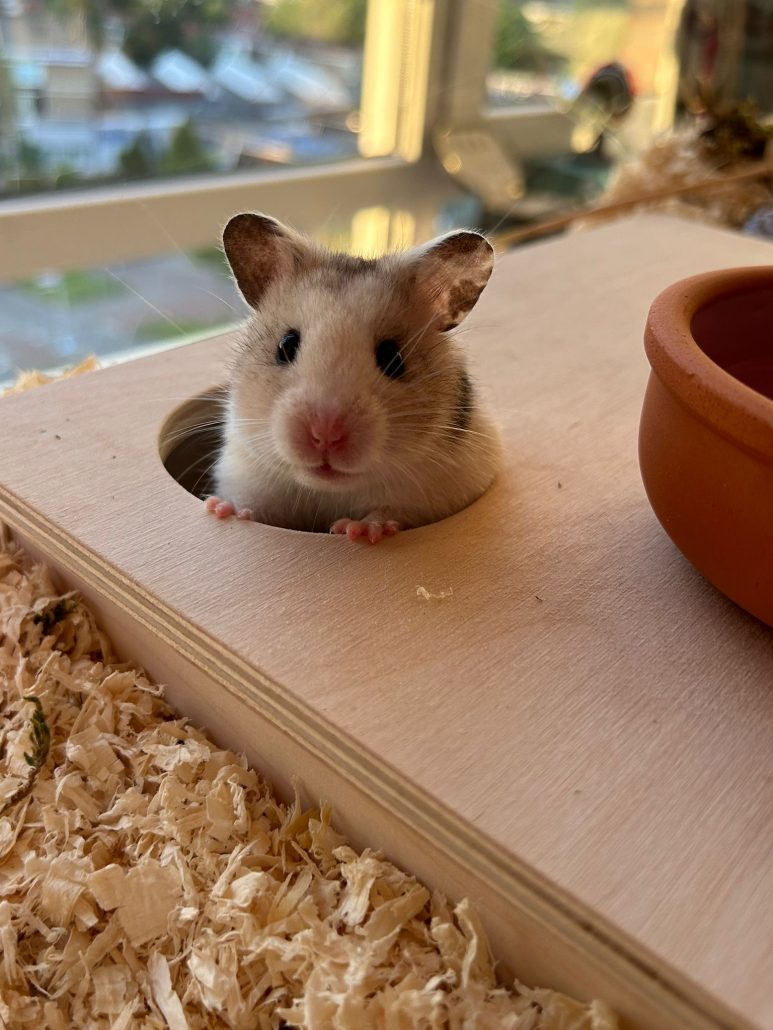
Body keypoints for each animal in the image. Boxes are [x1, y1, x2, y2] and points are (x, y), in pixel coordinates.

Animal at [206, 212, 501, 543]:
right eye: (286, 346)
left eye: (392, 358)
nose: (324, 435)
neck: (328, 490)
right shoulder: (245, 469)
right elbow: (252, 504)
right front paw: (222, 509)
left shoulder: (440, 491)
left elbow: (390, 511)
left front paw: (356, 529)